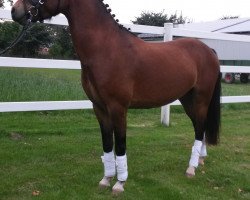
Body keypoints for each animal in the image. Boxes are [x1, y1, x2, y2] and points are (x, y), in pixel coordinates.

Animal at [11, 0, 221, 195]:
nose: (15, 11)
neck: (106, 49)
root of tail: (209, 50)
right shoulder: (99, 107)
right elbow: (107, 143)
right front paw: (106, 179)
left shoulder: (118, 108)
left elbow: (120, 144)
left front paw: (120, 184)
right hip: (187, 100)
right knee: (200, 127)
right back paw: (200, 160)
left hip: (200, 100)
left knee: (199, 128)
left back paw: (191, 168)